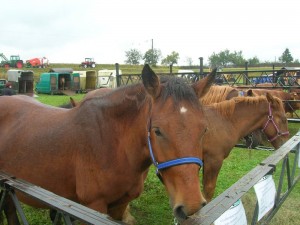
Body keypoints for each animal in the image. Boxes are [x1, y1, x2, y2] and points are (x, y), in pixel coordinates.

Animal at [0, 64, 216, 224]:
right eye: (157, 131)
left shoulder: (120, 205)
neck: (111, 143)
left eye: (204, 129)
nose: (191, 205)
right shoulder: (92, 206)